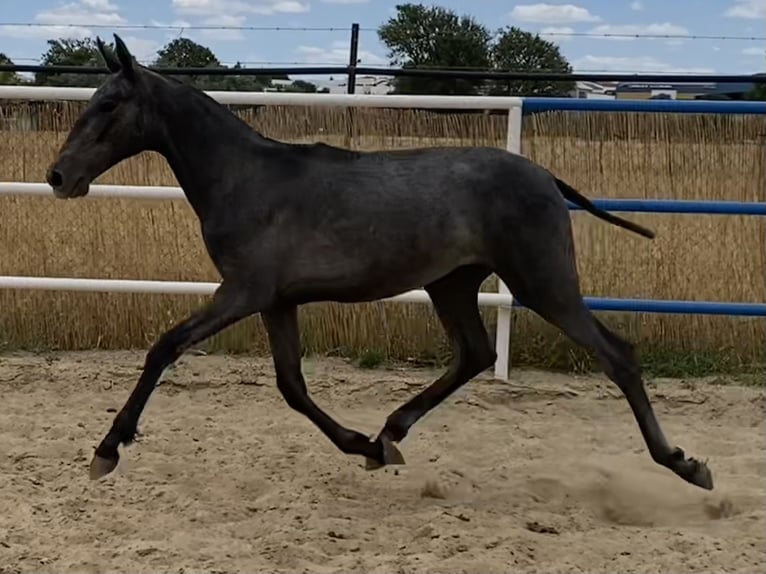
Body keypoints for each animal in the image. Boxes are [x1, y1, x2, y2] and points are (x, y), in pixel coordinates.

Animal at [43, 36, 712, 492]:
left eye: (109, 105)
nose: (58, 176)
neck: (245, 179)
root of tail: (544, 176)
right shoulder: (277, 301)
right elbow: (292, 386)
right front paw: (363, 446)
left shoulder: (243, 292)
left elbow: (165, 348)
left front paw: (107, 450)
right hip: (452, 284)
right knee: (474, 354)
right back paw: (391, 432)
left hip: (542, 281)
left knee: (616, 354)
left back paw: (684, 464)